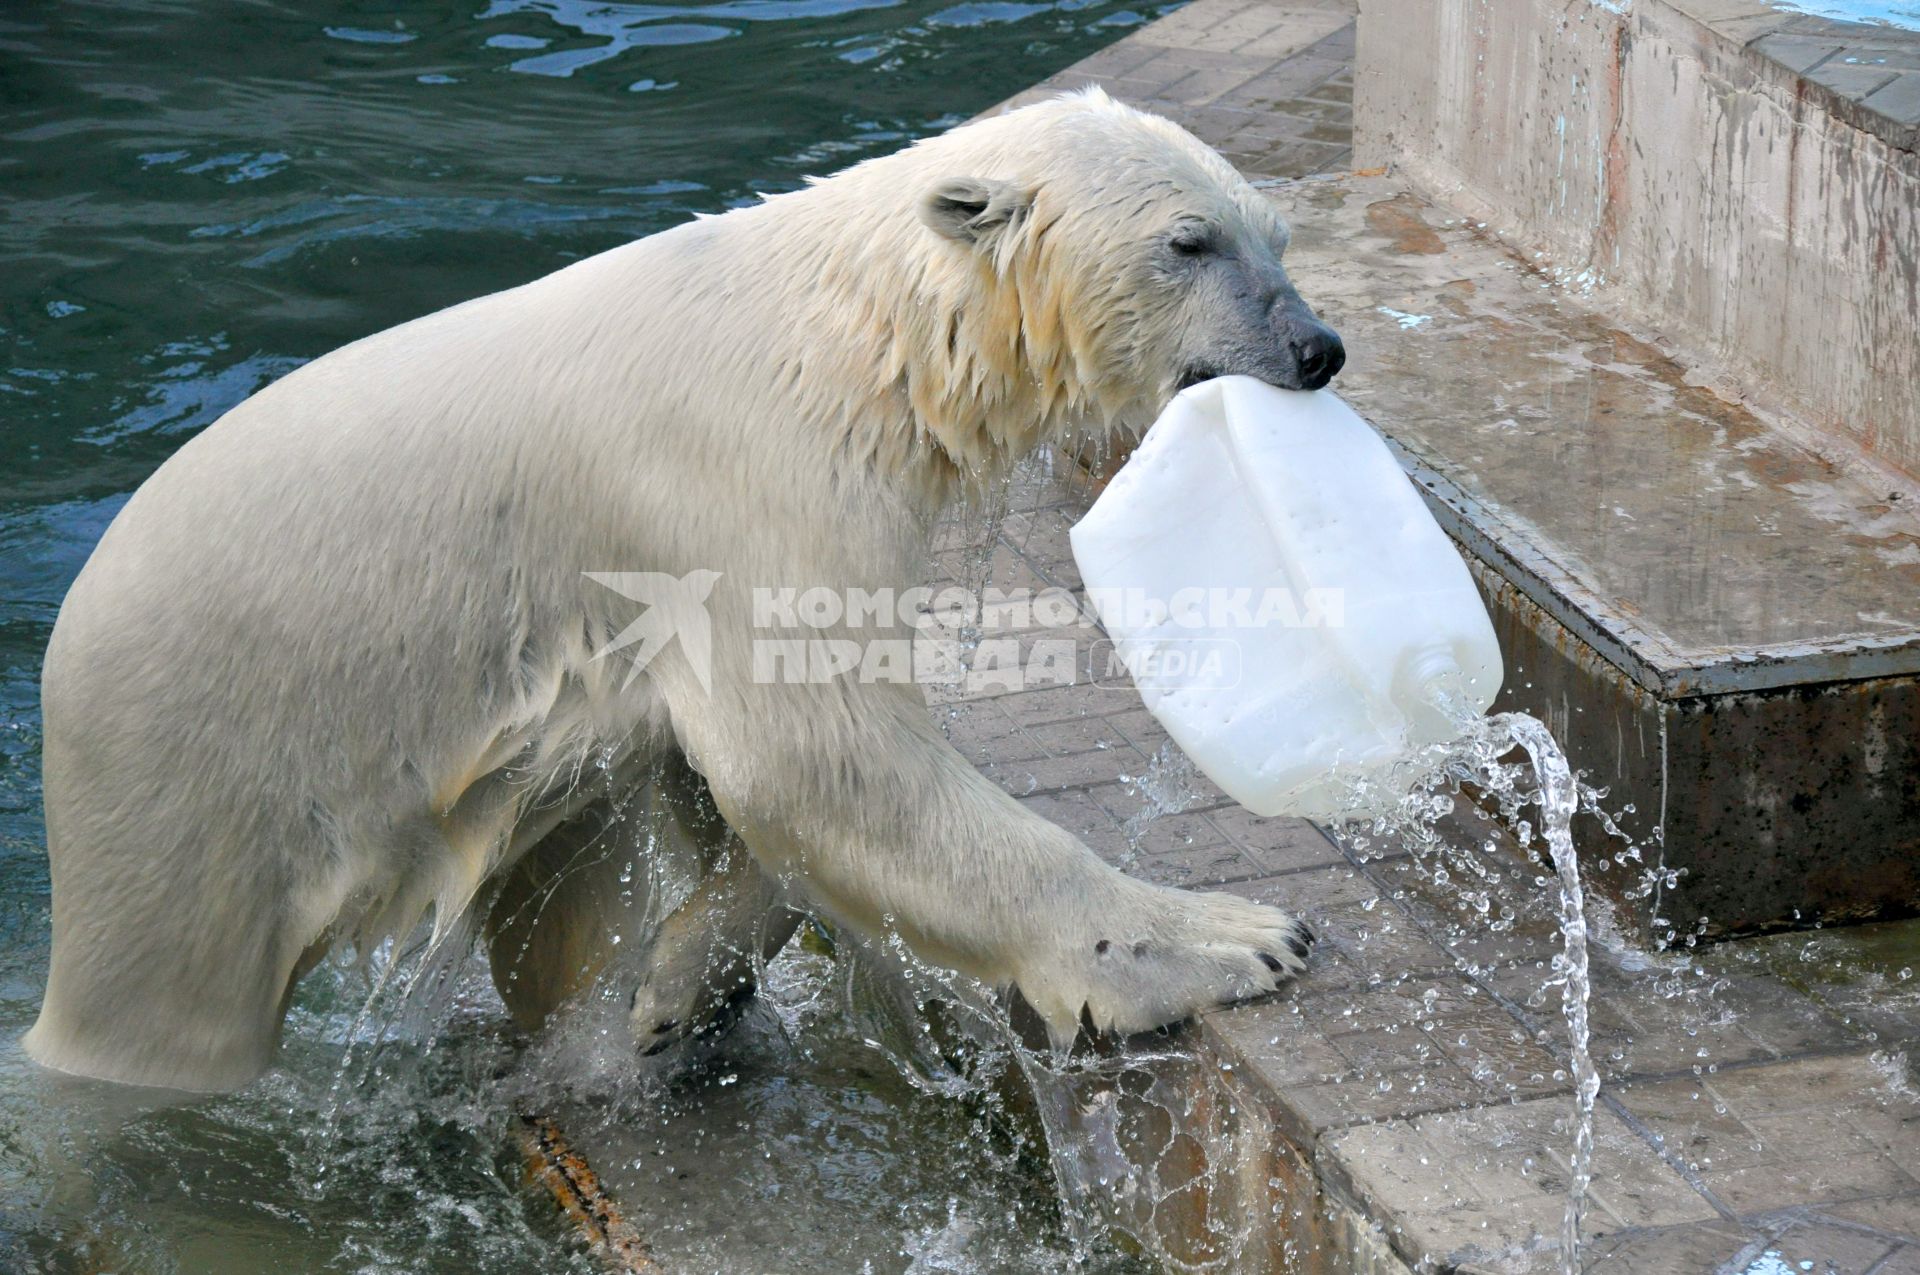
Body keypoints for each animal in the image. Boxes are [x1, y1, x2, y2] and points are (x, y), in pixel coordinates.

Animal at [30, 89, 1351, 1090]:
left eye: (1279, 236)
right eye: (1189, 242)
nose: (1317, 349)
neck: (854, 341)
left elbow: (734, 777)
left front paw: (678, 993)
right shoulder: (741, 479)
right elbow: (815, 754)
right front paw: (1234, 937)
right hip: (193, 778)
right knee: (157, 1011)